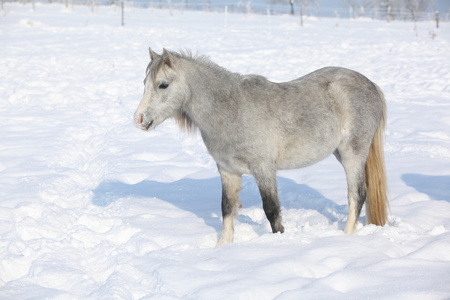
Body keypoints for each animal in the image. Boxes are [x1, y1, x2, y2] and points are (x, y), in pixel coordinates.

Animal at [133, 48, 386, 246]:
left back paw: (346, 237)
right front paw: (222, 246)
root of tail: (371, 85)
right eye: (144, 84)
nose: (138, 119)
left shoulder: (263, 169)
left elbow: (271, 210)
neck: (230, 109)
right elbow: (227, 208)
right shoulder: (228, 171)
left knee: (357, 195)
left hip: (353, 154)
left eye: (163, 85)